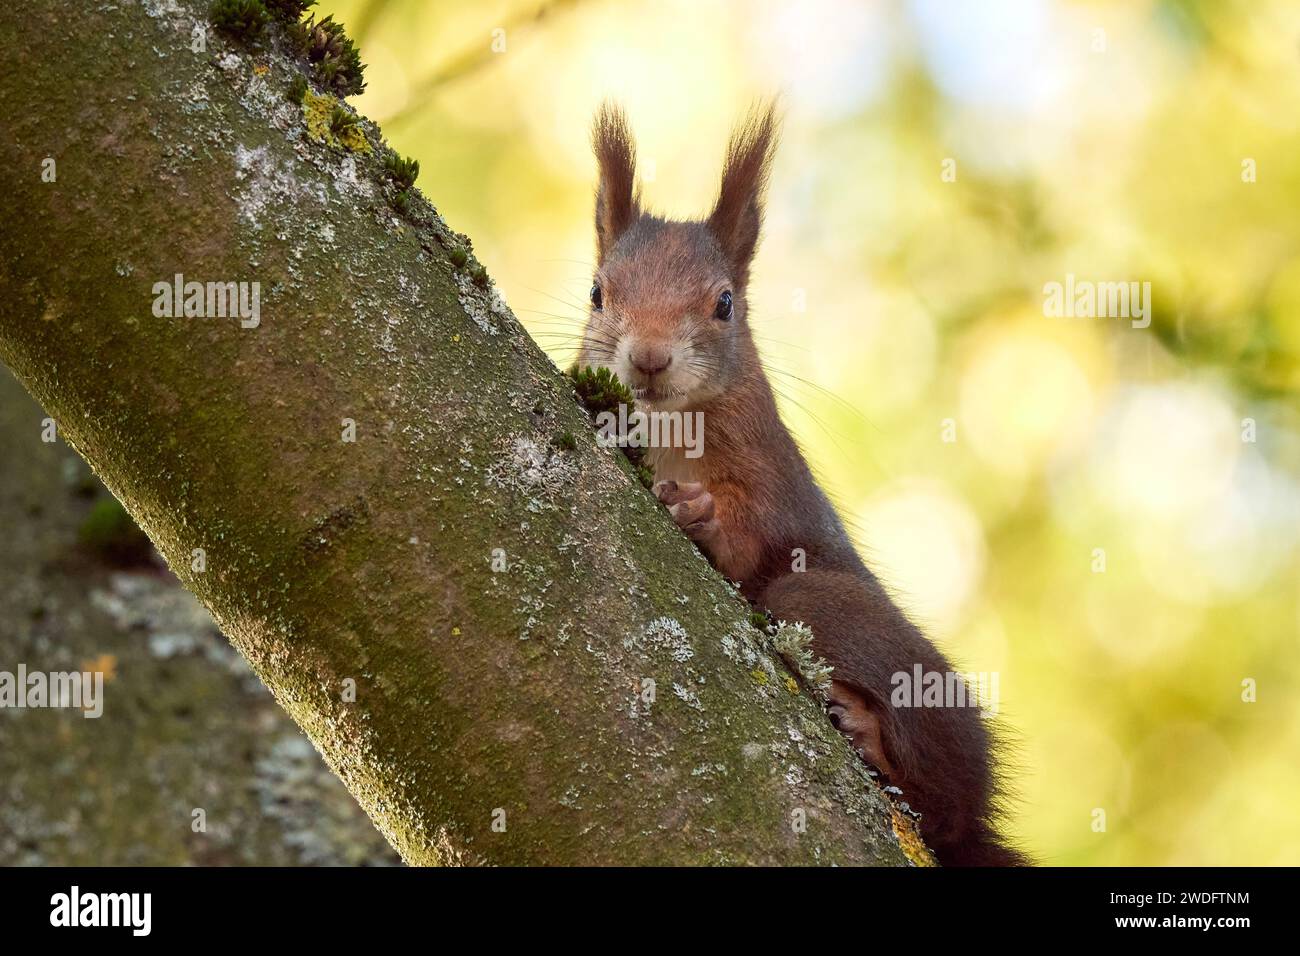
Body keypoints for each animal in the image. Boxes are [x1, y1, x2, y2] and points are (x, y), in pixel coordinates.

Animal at [577, 103, 1028, 867]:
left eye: (725, 303)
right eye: (597, 294)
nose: (650, 360)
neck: (670, 423)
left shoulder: (771, 476)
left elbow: (754, 536)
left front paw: (698, 512)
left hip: (834, 614)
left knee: (943, 805)